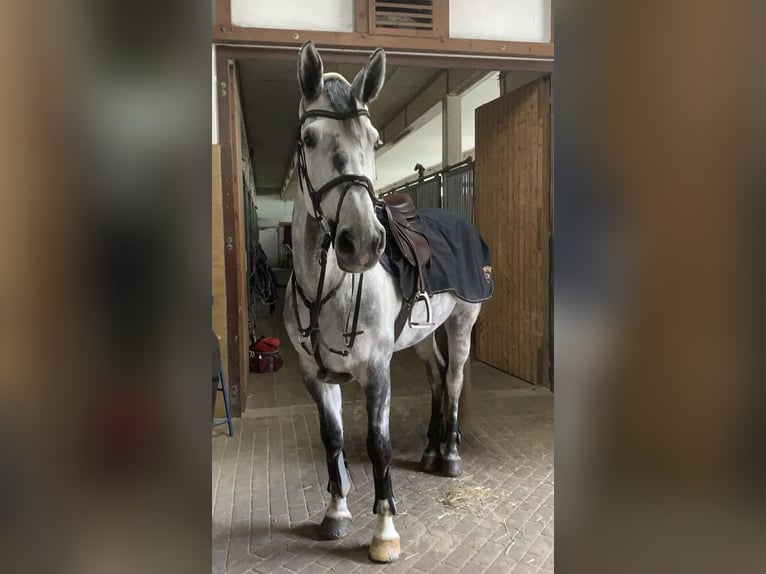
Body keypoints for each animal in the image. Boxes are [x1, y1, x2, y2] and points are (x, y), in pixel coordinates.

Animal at [284, 41, 491, 563]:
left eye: (374, 139)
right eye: (310, 138)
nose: (362, 242)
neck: (328, 289)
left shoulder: (376, 368)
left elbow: (378, 443)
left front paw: (384, 532)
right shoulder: (314, 375)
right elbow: (332, 437)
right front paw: (335, 513)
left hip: (462, 322)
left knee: (454, 378)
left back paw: (450, 454)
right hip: (421, 335)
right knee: (437, 378)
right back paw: (431, 450)